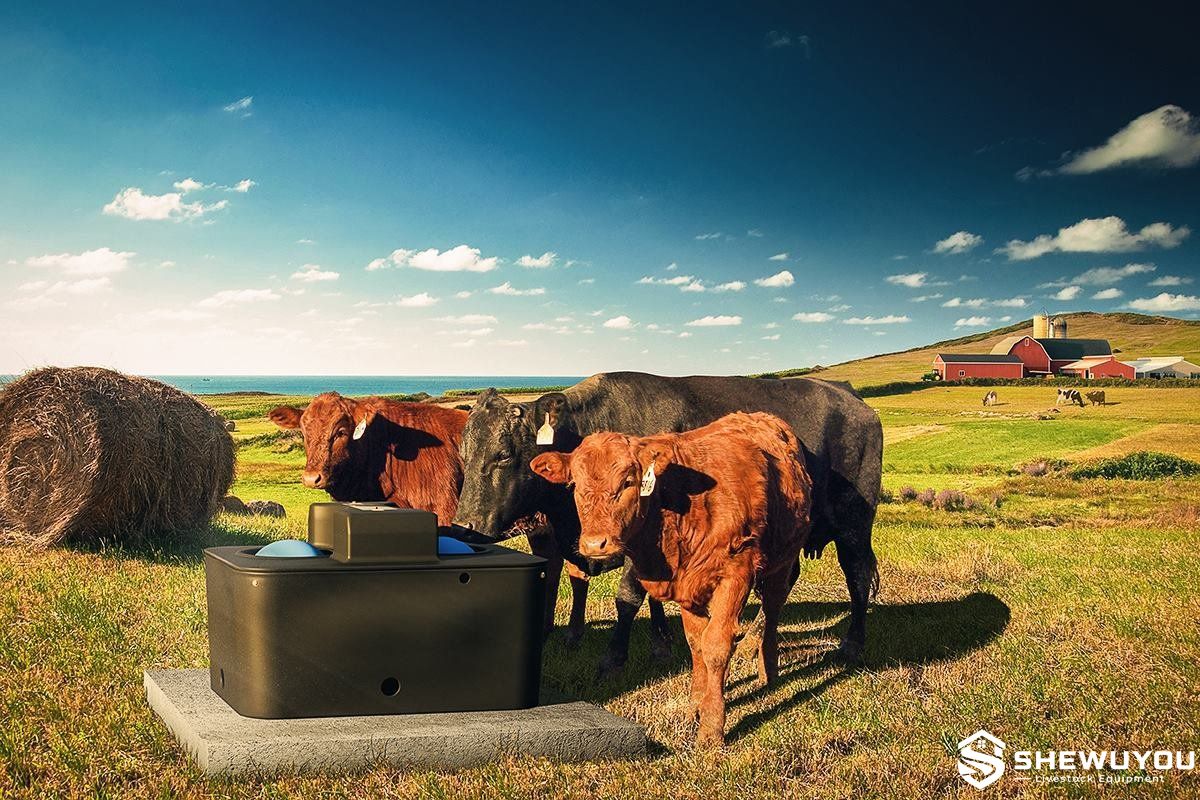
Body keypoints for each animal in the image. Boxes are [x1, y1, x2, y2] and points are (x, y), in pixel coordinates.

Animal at [451, 372, 882, 673]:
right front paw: (661, 644)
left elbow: (627, 596)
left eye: (504, 454)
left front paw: (614, 656)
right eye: (464, 453)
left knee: (857, 573)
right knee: (783, 579)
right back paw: (753, 639)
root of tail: (849, 396)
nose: (465, 525)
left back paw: (853, 643)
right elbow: (650, 592)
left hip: (854, 523)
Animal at [529, 412, 813, 747]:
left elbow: (716, 646)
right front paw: (695, 708)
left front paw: (712, 726)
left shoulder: (735, 575)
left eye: (628, 482)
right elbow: (696, 645)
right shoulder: (687, 586)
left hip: (781, 562)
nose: (595, 544)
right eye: (575, 484)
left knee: (772, 609)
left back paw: (768, 671)